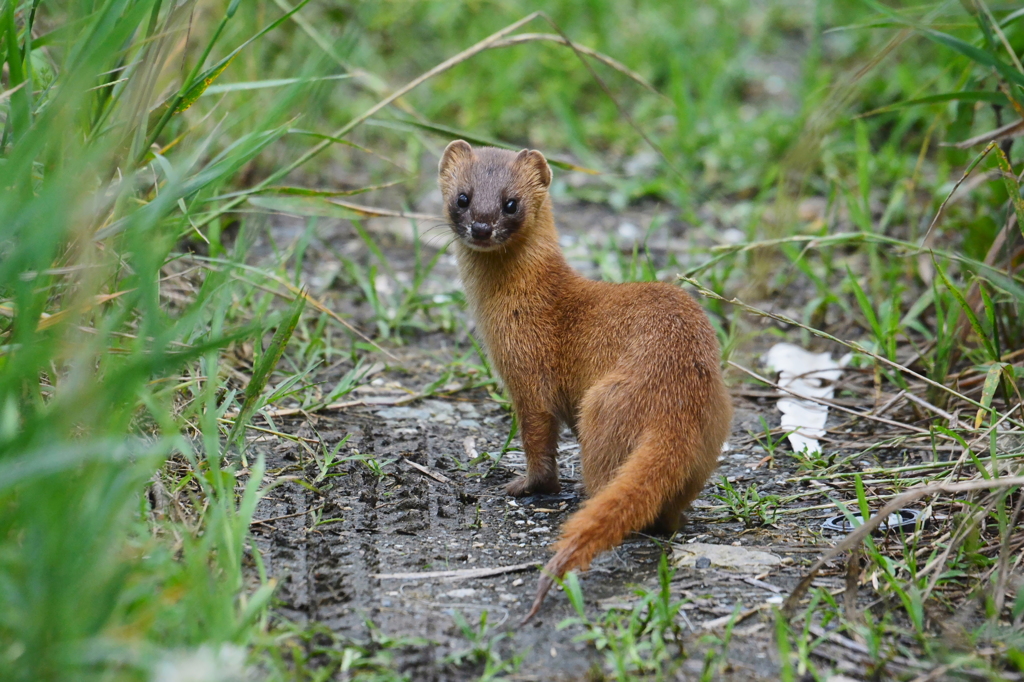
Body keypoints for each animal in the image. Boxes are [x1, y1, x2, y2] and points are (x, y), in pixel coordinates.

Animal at [436, 140, 733, 618]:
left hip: (599, 405)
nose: (481, 226)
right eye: (462, 197)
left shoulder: (527, 369)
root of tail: (676, 404)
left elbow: (538, 439)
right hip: (717, 424)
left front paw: (523, 484)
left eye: (511, 203)